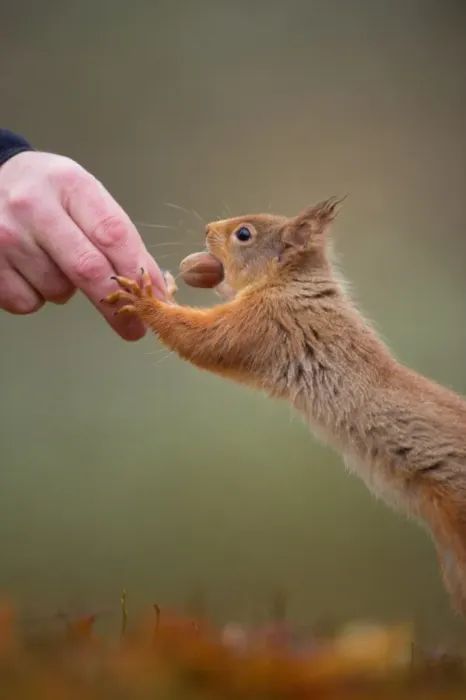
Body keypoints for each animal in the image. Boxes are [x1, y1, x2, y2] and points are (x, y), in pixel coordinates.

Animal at [104, 197, 466, 617]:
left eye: (244, 234)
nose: (208, 228)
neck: (292, 283)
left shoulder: (267, 322)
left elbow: (208, 340)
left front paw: (145, 299)